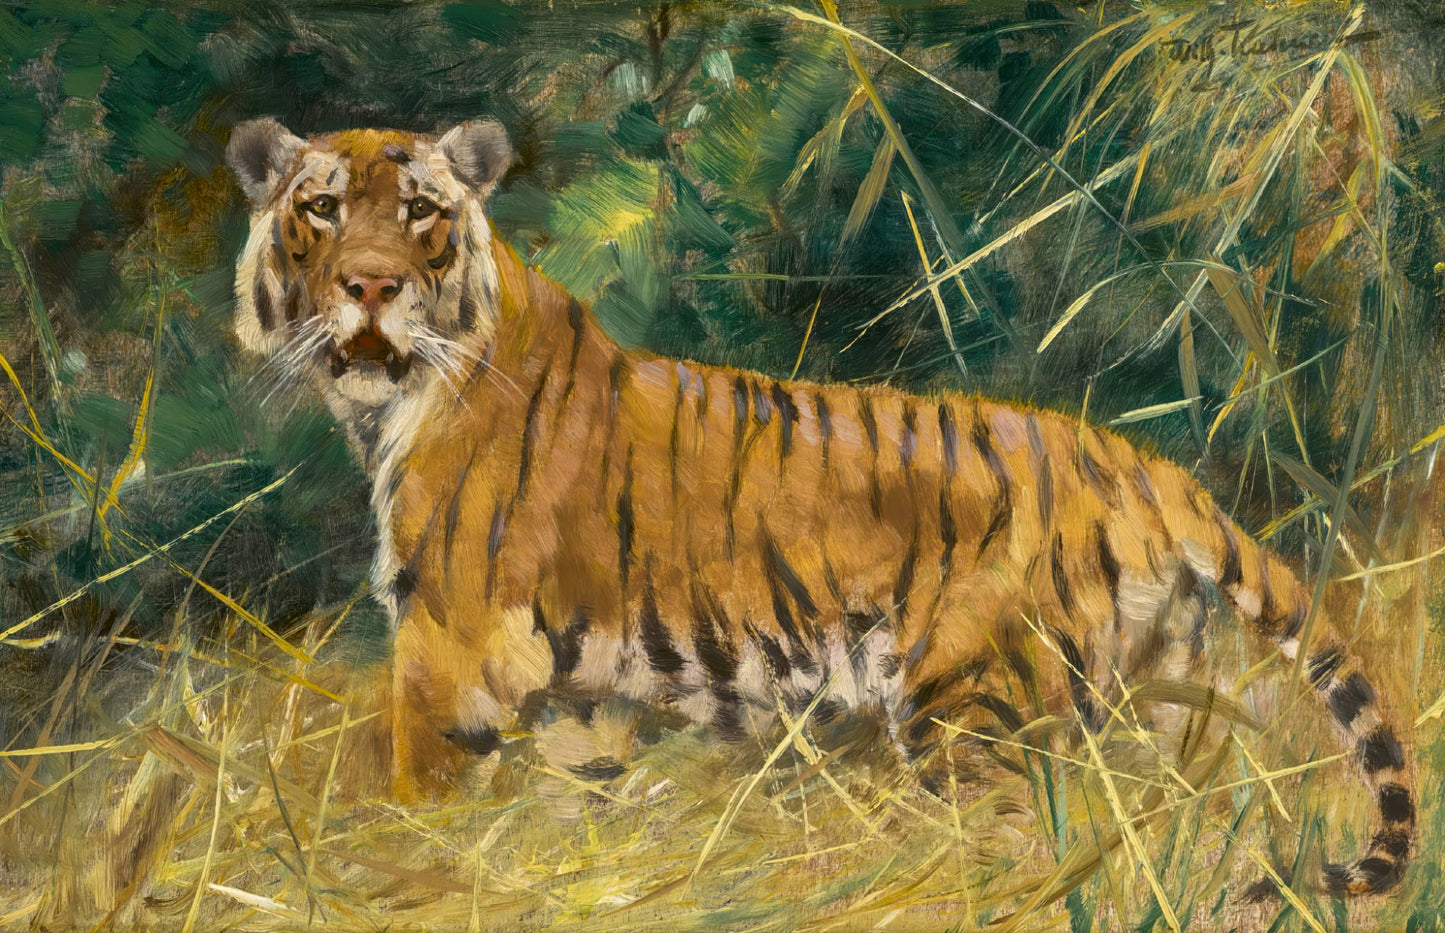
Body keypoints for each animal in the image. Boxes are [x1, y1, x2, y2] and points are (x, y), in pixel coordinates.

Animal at [225, 117, 1414, 897]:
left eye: (419, 213)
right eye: (322, 209)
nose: (369, 286)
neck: (388, 405)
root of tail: (1143, 466)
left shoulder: (448, 653)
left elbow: (412, 804)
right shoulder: (575, 701)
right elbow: (573, 812)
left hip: (970, 710)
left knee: (1017, 849)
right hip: (1154, 701)